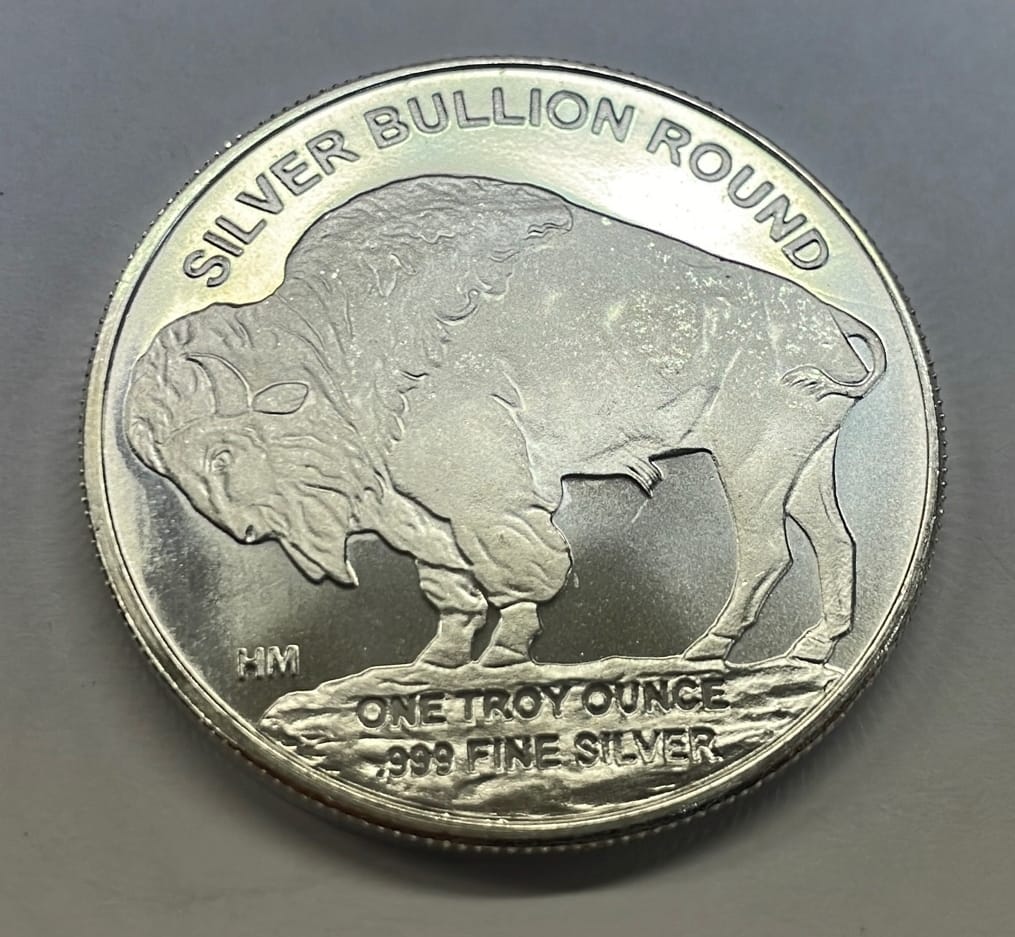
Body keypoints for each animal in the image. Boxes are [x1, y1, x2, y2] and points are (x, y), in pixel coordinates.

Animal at [125, 175, 885, 668]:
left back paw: (705, 651)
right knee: (835, 541)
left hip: (751, 462)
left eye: (225, 452)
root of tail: (829, 318)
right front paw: (439, 659)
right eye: (183, 472)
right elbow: (450, 576)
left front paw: (501, 656)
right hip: (804, 463)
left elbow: (517, 563)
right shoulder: (410, 506)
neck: (334, 345)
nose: (245, 531)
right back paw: (812, 647)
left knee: (766, 551)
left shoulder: (482, 496)